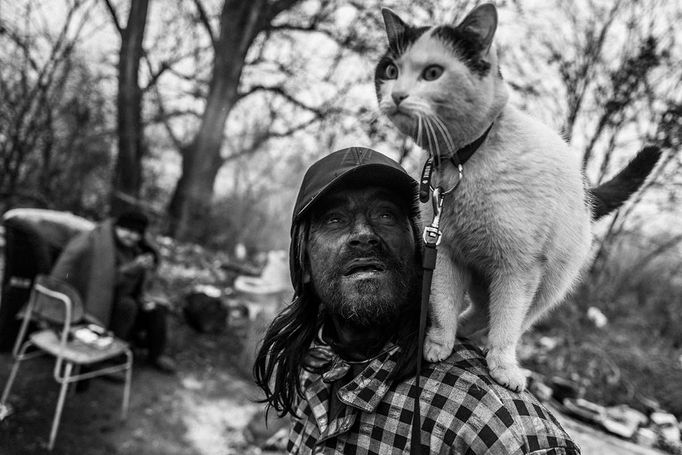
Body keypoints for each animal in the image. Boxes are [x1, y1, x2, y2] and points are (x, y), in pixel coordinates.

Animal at [372, 2, 660, 392]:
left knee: (516, 319)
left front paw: (503, 367)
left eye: (432, 73)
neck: (462, 162)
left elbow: (507, 323)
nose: (397, 95)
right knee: (481, 310)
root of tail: (586, 191)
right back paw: (462, 331)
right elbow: (443, 303)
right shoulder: (446, 253)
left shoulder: (519, 268)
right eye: (390, 70)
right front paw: (438, 343)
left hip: (548, 285)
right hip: (484, 276)